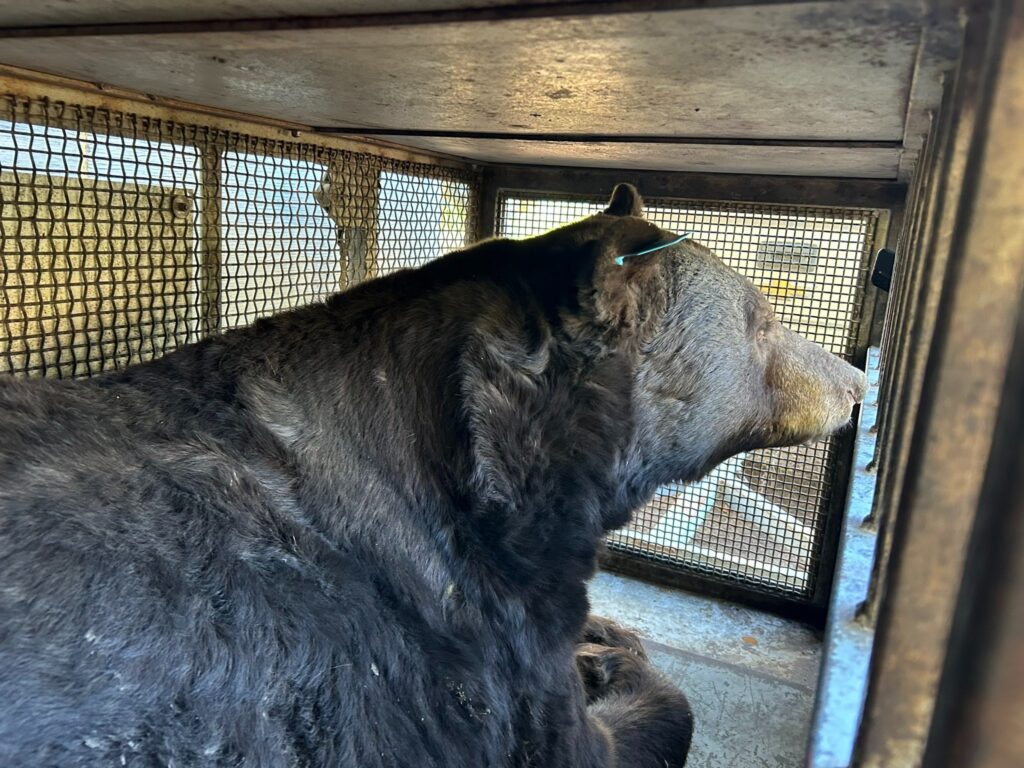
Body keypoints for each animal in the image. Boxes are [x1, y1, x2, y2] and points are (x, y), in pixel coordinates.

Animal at [0, 183, 864, 765]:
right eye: (764, 321)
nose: (859, 380)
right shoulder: (478, 624)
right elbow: (596, 735)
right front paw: (611, 660)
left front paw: (607, 634)